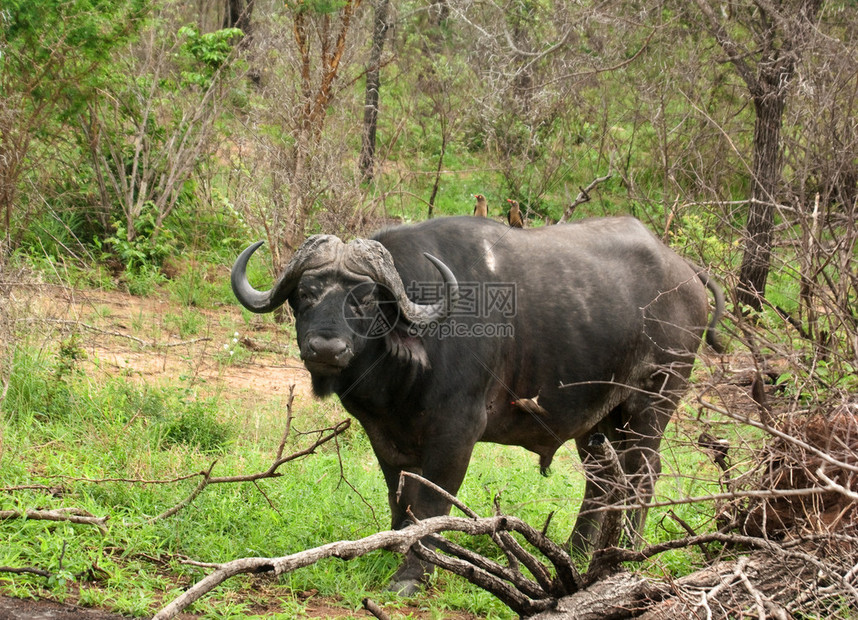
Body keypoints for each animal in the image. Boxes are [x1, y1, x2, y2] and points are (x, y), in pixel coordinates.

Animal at [229, 216, 724, 592]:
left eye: (366, 299)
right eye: (305, 293)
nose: (326, 348)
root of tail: (686, 272)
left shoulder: (456, 432)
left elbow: (431, 505)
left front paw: (412, 575)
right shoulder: (386, 438)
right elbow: (401, 503)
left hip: (650, 406)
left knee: (643, 475)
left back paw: (626, 553)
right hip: (596, 423)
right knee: (603, 481)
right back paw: (579, 551)